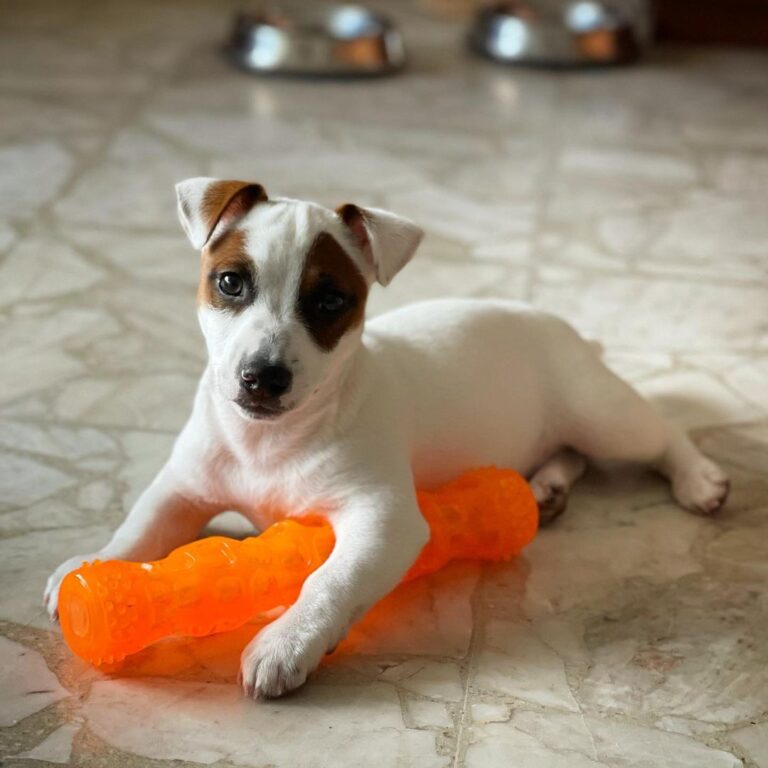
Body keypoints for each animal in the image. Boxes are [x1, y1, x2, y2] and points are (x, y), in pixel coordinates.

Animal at [44, 178, 730, 698]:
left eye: (329, 301)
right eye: (231, 282)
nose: (262, 377)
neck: (270, 442)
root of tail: (568, 330)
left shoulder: (385, 519)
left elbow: (332, 581)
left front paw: (287, 643)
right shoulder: (183, 485)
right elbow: (140, 525)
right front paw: (89, 564)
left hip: (602, 414)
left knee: (660, 432)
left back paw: (699, 479)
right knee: (572, 455)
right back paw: (549, 488)